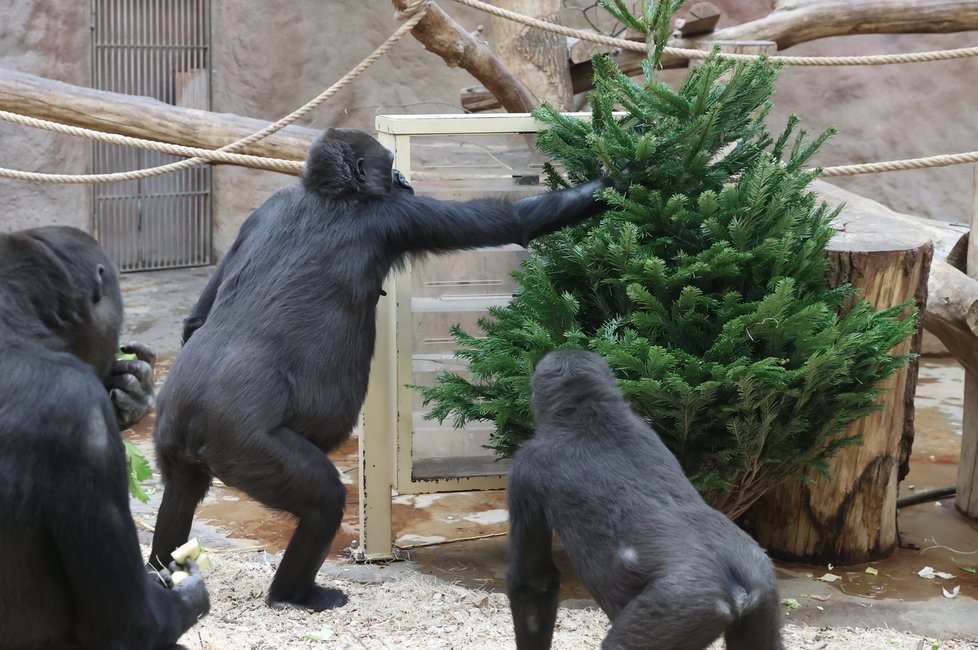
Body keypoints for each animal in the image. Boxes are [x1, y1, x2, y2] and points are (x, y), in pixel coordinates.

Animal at [148, 125, 612, 608]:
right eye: (390, 166)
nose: (404, 178)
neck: (331, 194)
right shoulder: (397, 216)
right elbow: (515, 221)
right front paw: (621, 175)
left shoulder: (266, 209)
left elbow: (197, 316)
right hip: (244, 445)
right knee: (322, 501)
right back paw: (295, 594)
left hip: (172, 430)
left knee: (180, 491)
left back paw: (163, 575)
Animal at [508, 350, 780, 648]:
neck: (590, 411)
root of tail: (742, 591)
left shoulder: (525, 469)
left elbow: (534, 583)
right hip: (765, 591)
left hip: (685, 609)